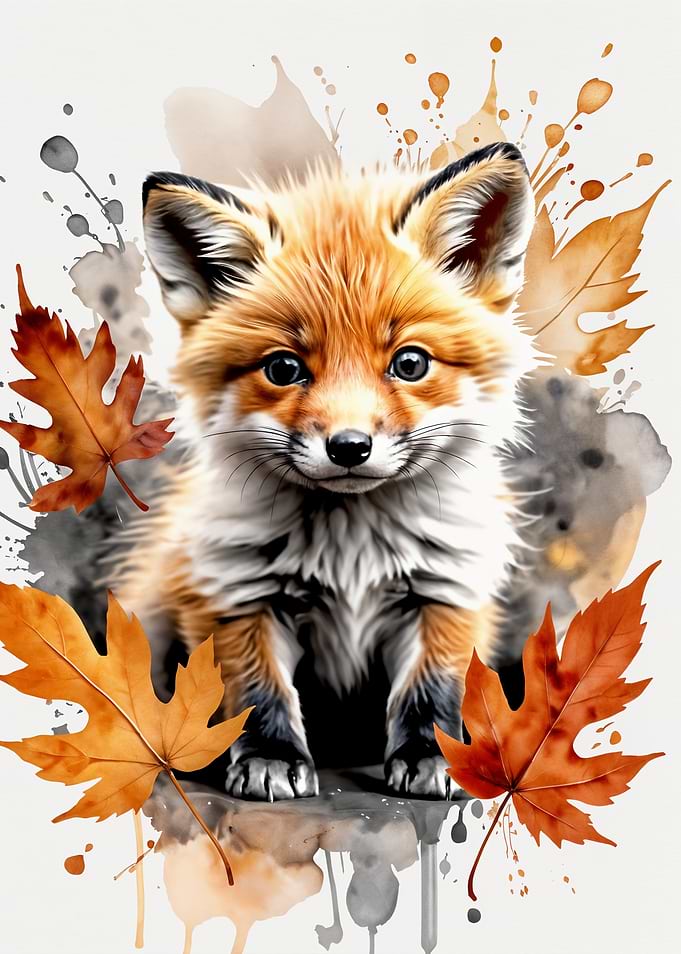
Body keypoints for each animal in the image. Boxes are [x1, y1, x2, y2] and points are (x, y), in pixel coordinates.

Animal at [115, 141, 538, 801]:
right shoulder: (238, 591)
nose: (349, 447)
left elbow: (431, 689)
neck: (351, 551)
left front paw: (434, 756)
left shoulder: (444, 589)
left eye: (410, 363)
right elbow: (257, 692)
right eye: (284, 369)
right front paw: (270, 757)